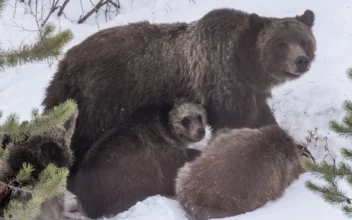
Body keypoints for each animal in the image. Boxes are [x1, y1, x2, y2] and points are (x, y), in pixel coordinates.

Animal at [41, 7, 316, 181]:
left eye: (303, 40)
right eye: (281, 43)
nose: (301, 61)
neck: (244, 65)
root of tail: (65, 62)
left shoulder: (249, 92)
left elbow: (262, 118)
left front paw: (302, 149)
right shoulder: (223, 85)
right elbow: (240, 123)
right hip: (102, 99)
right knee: (83, 138)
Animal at [73, 99, 208, 218]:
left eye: (199, 116)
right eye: (186, 120)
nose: (200, 131)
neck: (168, 130)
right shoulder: (162, 152)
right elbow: (172, 172)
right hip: (124, 177)